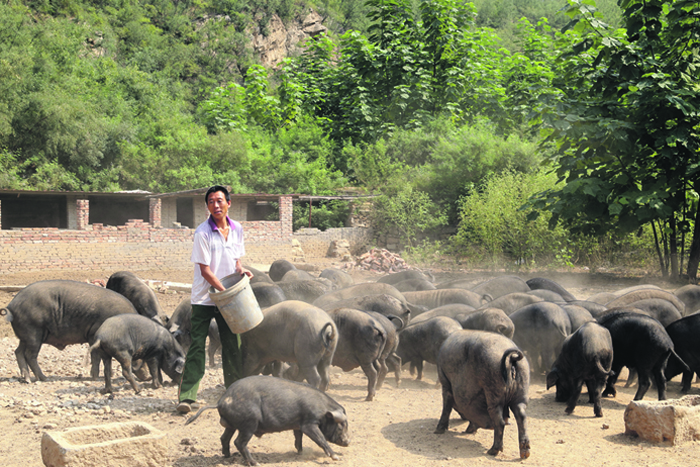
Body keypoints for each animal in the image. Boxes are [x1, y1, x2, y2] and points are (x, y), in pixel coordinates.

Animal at [0, 278, 137, 384]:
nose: (142, 378)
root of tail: (11, 305)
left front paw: (110, 374)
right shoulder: (93, 335)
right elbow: (96, 356)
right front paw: (95, 378)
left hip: (25, 336)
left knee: (18, 352)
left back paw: (27, 379)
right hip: (33, 333)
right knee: (29, 355)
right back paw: (44, 378)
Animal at [185, 374, 350, 466]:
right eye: (341, 425)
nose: (348, 442)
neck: (322, 410)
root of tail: (221, 401)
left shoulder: (298, 424)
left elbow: (298, 438)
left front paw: (300, 453)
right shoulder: (309, 423)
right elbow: (321, 439)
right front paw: (335, 457)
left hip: (232, 425)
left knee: (224, 438)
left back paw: (227, 456)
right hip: (249, 423)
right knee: (239, 442)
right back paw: (255, 463)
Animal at [432, 330, 532, 458]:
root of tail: (512, 358)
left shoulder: (445, 382)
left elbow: (446, 407)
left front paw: (438, 431)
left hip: (493, 390)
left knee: (500, 422)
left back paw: (492, 451)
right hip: (521, 391)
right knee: (522, 416)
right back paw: (525, 453)